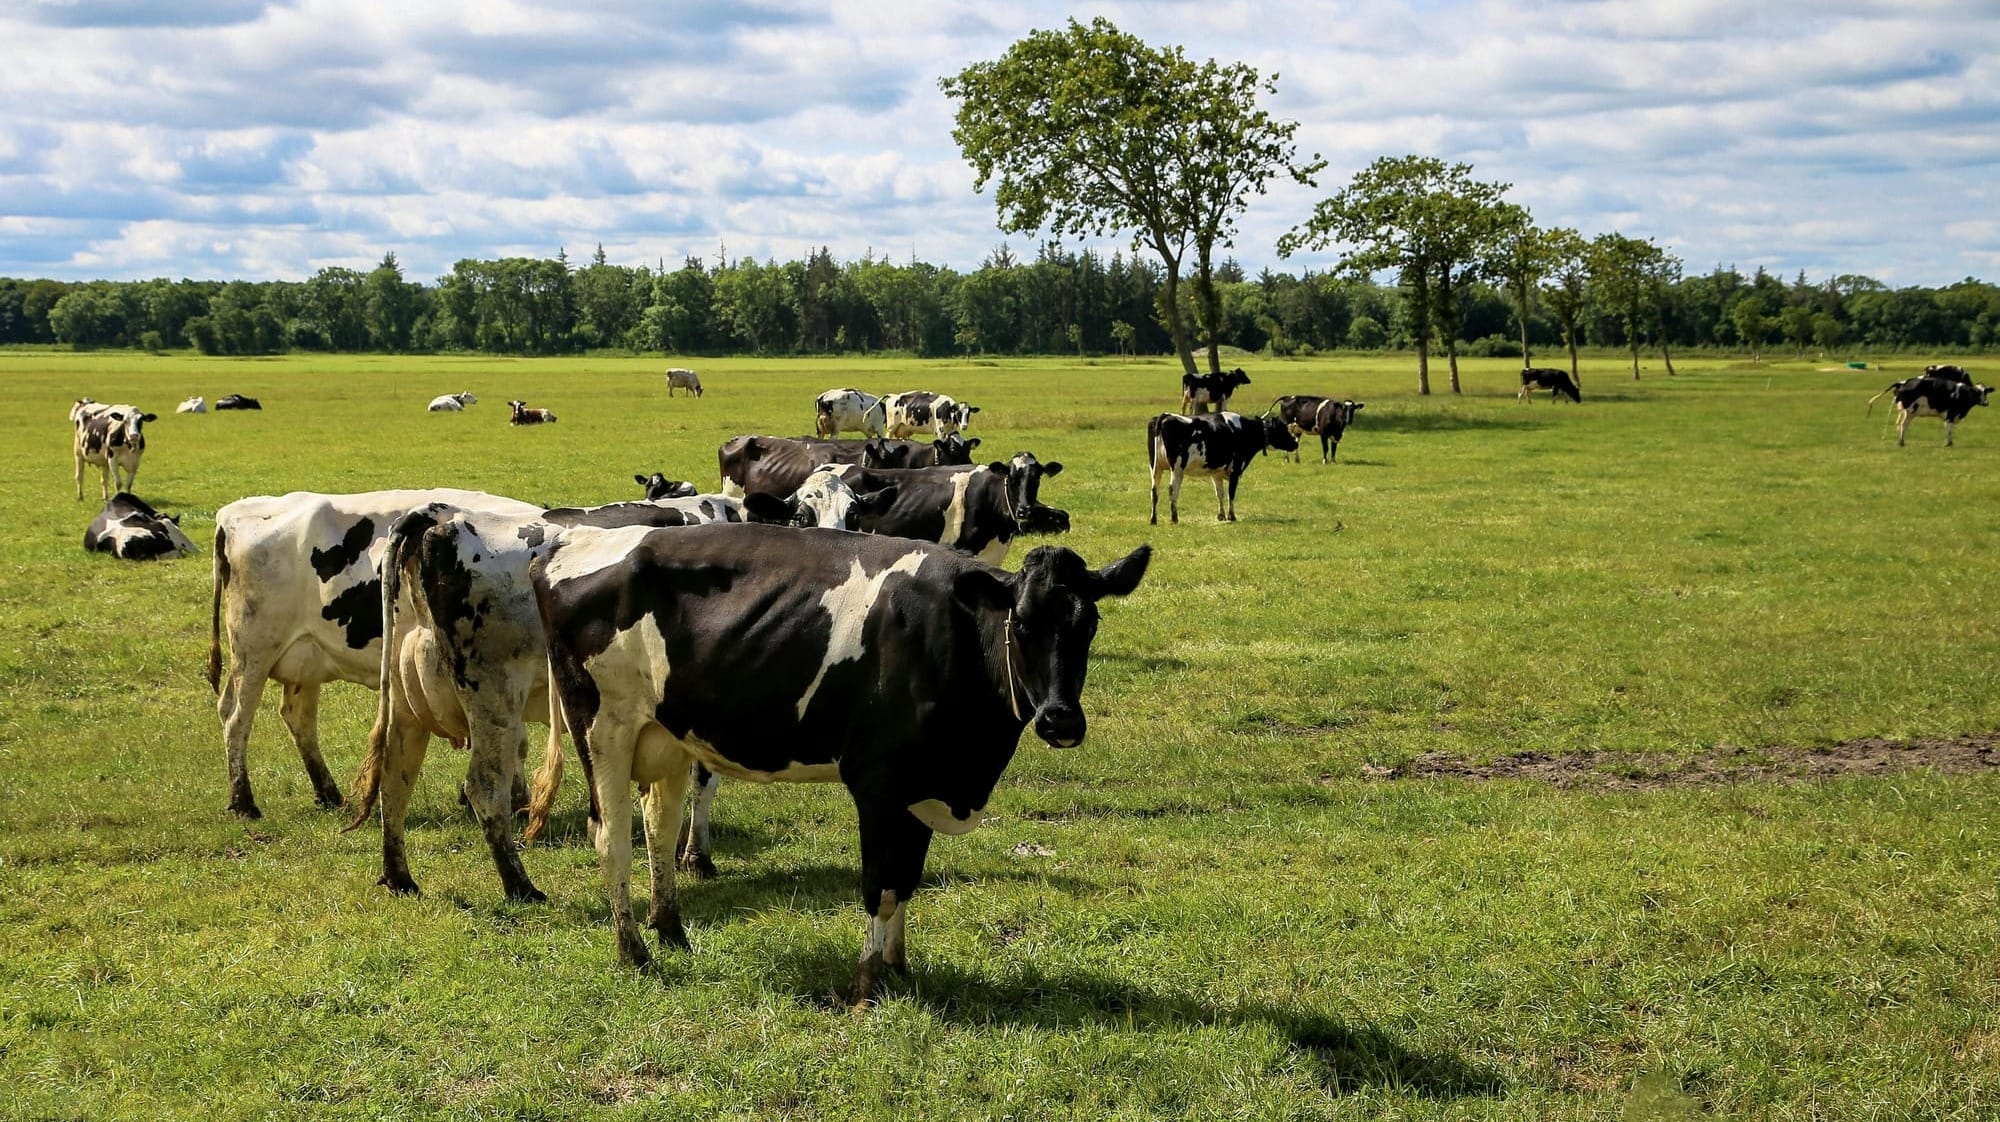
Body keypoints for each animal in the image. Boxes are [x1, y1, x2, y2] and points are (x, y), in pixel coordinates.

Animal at [207, 488, 545, 818]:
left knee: (297, 717)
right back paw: (243, 802)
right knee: (235, 716)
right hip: (254, 649)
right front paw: (516, 802)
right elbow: (514, 739)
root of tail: (233, 512)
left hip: (304, 659)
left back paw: (329, 795)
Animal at [344, 471, 888, 902]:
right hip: (492, 693)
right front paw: (697, 856)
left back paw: (399, 876)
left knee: (395, 775)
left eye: (855, 513)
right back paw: (521, 886)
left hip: (409, 701)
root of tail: (437, 523)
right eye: (801, 515)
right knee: (484, 788)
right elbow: (703, 779)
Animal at [528, 522, 1150, 1001]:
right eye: (1019, 624)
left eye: (1089, 624)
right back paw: (634, 952)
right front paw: (866, 985)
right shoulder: (878, 784)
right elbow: (878, 884)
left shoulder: (919, 789)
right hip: (602, 727)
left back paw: (672, 932)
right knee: (612, 836)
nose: (1061, 721)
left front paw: (900, 968)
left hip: (669, 734)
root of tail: (568, 539)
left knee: (658, 826)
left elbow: (907, 880)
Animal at [1147, 411, 1298, 524]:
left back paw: (1153, 519)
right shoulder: (1235, 469)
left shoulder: (1216, 473)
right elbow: (1231, 493)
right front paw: (1232, 516)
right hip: (1177, 469)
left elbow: (1219, 493)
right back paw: (1174, 518)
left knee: (1154, 492)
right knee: (1172, 490)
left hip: (1155, 467)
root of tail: (1165, 415)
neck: (1244, 430)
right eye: (1283, 429)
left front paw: (1221, 516)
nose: (1295, 443)